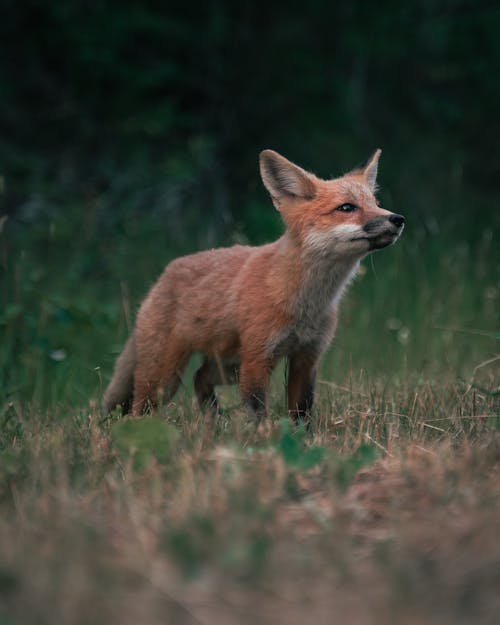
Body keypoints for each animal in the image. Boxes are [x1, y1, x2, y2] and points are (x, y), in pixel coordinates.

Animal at [103, 147, 404, 420]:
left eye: (376, 203)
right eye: (347, 208)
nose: (398, 219)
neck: (304, 303)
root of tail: (164, 274)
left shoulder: (307, 358)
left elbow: (302, 412)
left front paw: (302, 439)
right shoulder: (258, 358)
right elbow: (256, 411)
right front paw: (259, 440)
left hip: (228, 367)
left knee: (200, 378)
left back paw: (213, 423)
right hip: (166, 377)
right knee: (139, 408)